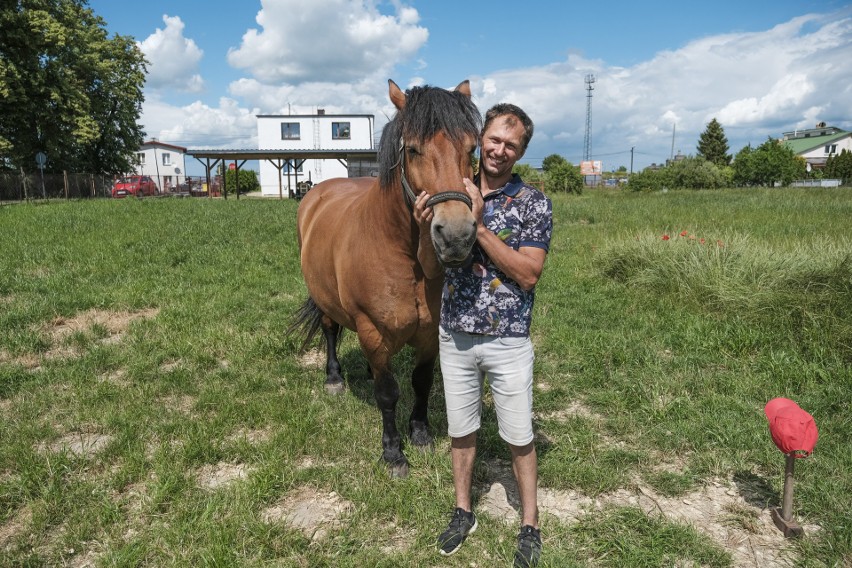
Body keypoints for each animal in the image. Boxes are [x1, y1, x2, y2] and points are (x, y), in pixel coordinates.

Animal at [290, 79, 482, 480]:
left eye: (471, 148)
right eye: (412, 149)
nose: (456, 235)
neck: (403, 256)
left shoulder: (428, 333)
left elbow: (421, 382)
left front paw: (420, 434)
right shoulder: (373, 331)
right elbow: (387, 393)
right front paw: (393, 453)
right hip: (325, 299)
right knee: (330, 329)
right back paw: (334, 378)